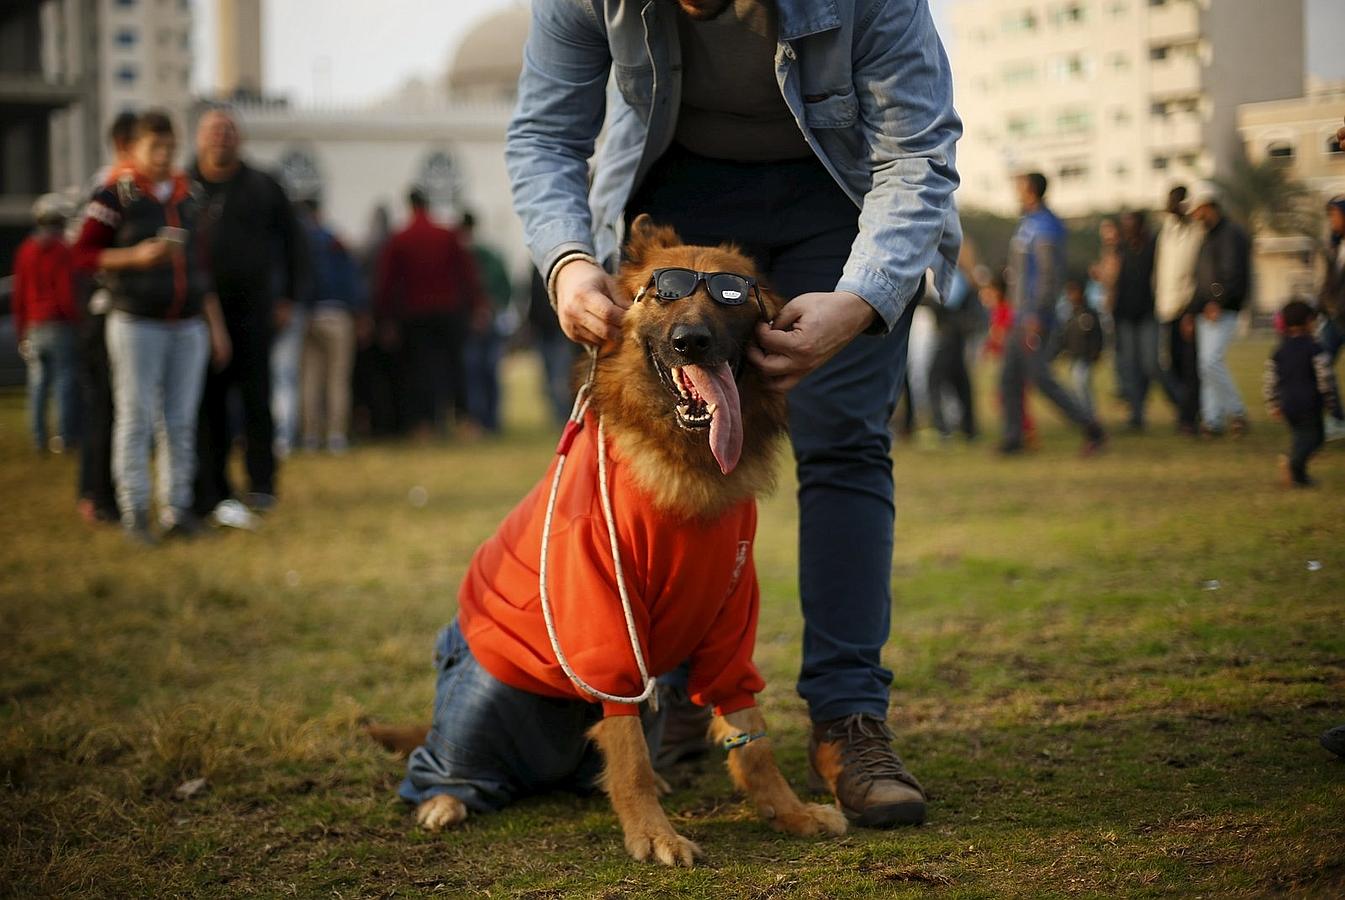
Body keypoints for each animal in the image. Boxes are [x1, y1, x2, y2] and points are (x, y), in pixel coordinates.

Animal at [371, 215, 839, 860]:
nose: (692, 341)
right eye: (664, 292)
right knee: (443, 756)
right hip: (482, 703)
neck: (681, 461)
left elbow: (752, 735)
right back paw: (445, 796)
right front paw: (652, 832)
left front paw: (788, 811)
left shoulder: (731, 617)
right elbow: (628, 748)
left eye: (731, 295)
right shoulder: (608, 625)